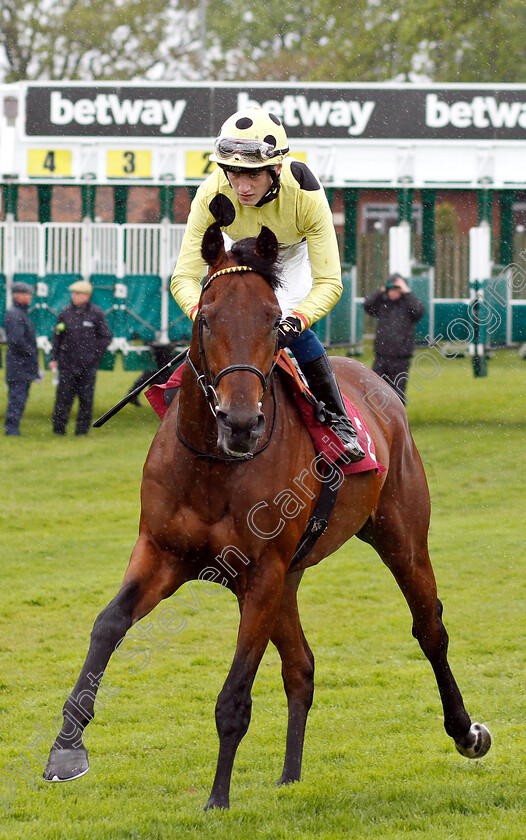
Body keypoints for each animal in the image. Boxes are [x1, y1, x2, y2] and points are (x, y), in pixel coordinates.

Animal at [43, 221, 492, 808]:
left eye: (275, 322)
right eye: (205, 318)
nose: (240, 422)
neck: (213, 465)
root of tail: (378, 383)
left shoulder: (262, 574)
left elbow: (234, 696)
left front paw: (217, 799)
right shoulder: (163, 554)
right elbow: (107, 625)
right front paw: (65, 750)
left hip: (400, 539)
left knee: (429, 629)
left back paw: (465, 731)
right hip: (291, 578)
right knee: (301, 666)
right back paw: (290, 775)